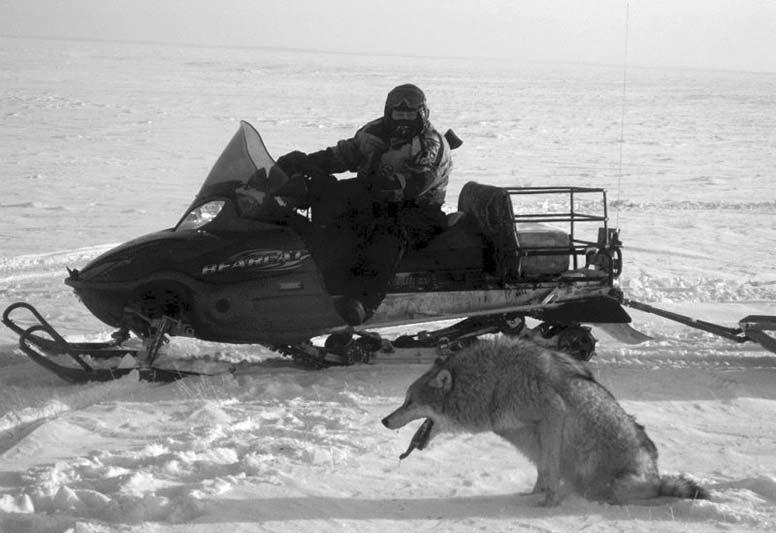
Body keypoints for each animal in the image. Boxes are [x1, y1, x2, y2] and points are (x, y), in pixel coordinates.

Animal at [382, 338, 708, 504]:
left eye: (409, 402)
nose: (384, 420)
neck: (493, 383)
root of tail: (656, 475)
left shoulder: (553, 414)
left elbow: (549, 470)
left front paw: (545, 505)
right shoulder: (529, 436)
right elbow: (542, 469)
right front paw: (530, 496)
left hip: (611, 485)